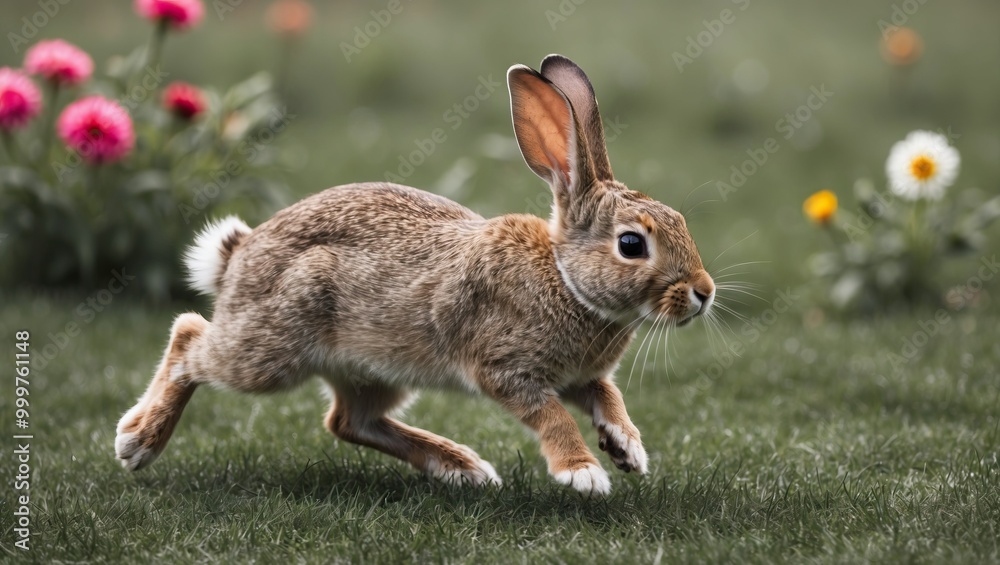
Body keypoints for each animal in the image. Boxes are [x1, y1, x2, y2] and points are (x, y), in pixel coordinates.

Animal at [115, 54, 716, 495]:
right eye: (632, 245)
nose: (704, 293)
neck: (566, 279)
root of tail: (239, 255)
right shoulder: (506, 368)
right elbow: (550, 416)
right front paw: (583, 473)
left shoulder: (582, 377)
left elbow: (607, 399)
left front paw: (628, 449)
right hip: (269, 351)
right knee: (191, 337)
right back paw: (137, 441)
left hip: (373, 370)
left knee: (350, 421)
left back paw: (462, 468)